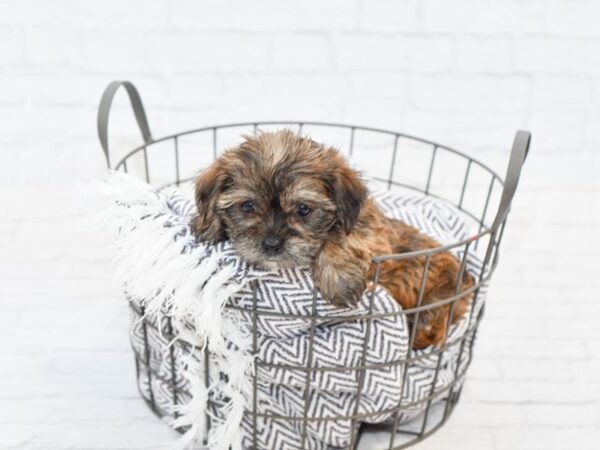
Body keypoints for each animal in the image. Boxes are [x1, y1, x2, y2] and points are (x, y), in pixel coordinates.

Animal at [191, 130, 474, 348]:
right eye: (248, 206)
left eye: (303, 209)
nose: (271, 244)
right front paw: (205, 224)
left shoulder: (372, 233)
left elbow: (340, 235)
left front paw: (339, 280)